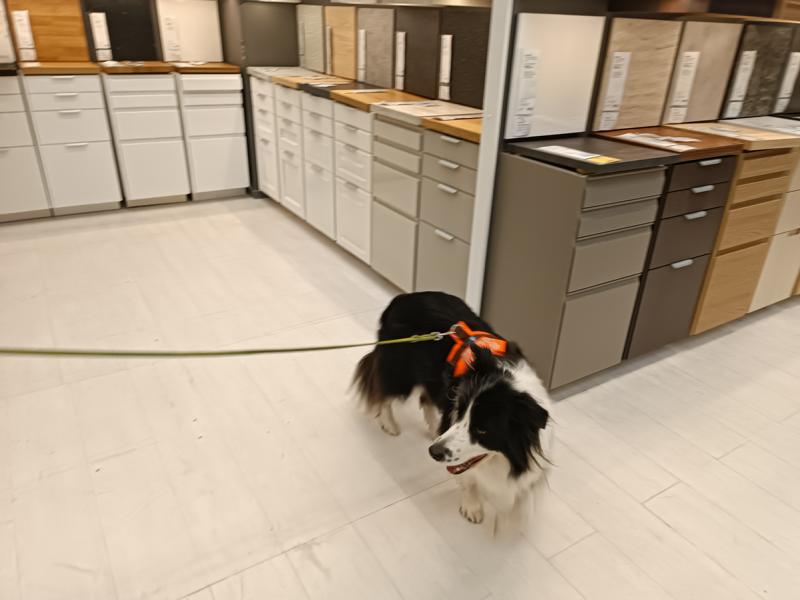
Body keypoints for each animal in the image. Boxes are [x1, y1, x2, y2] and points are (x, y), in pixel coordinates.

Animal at [353, 291, 553, 525]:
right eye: (461, 414)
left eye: (482, 429)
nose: (433, 453)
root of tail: (401, 298)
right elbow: (469, 478)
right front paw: (472, 507)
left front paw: (518, 517)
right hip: (399, 370)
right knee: (384, 391)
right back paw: (390, 424)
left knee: (425, 398)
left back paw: (434, 429)